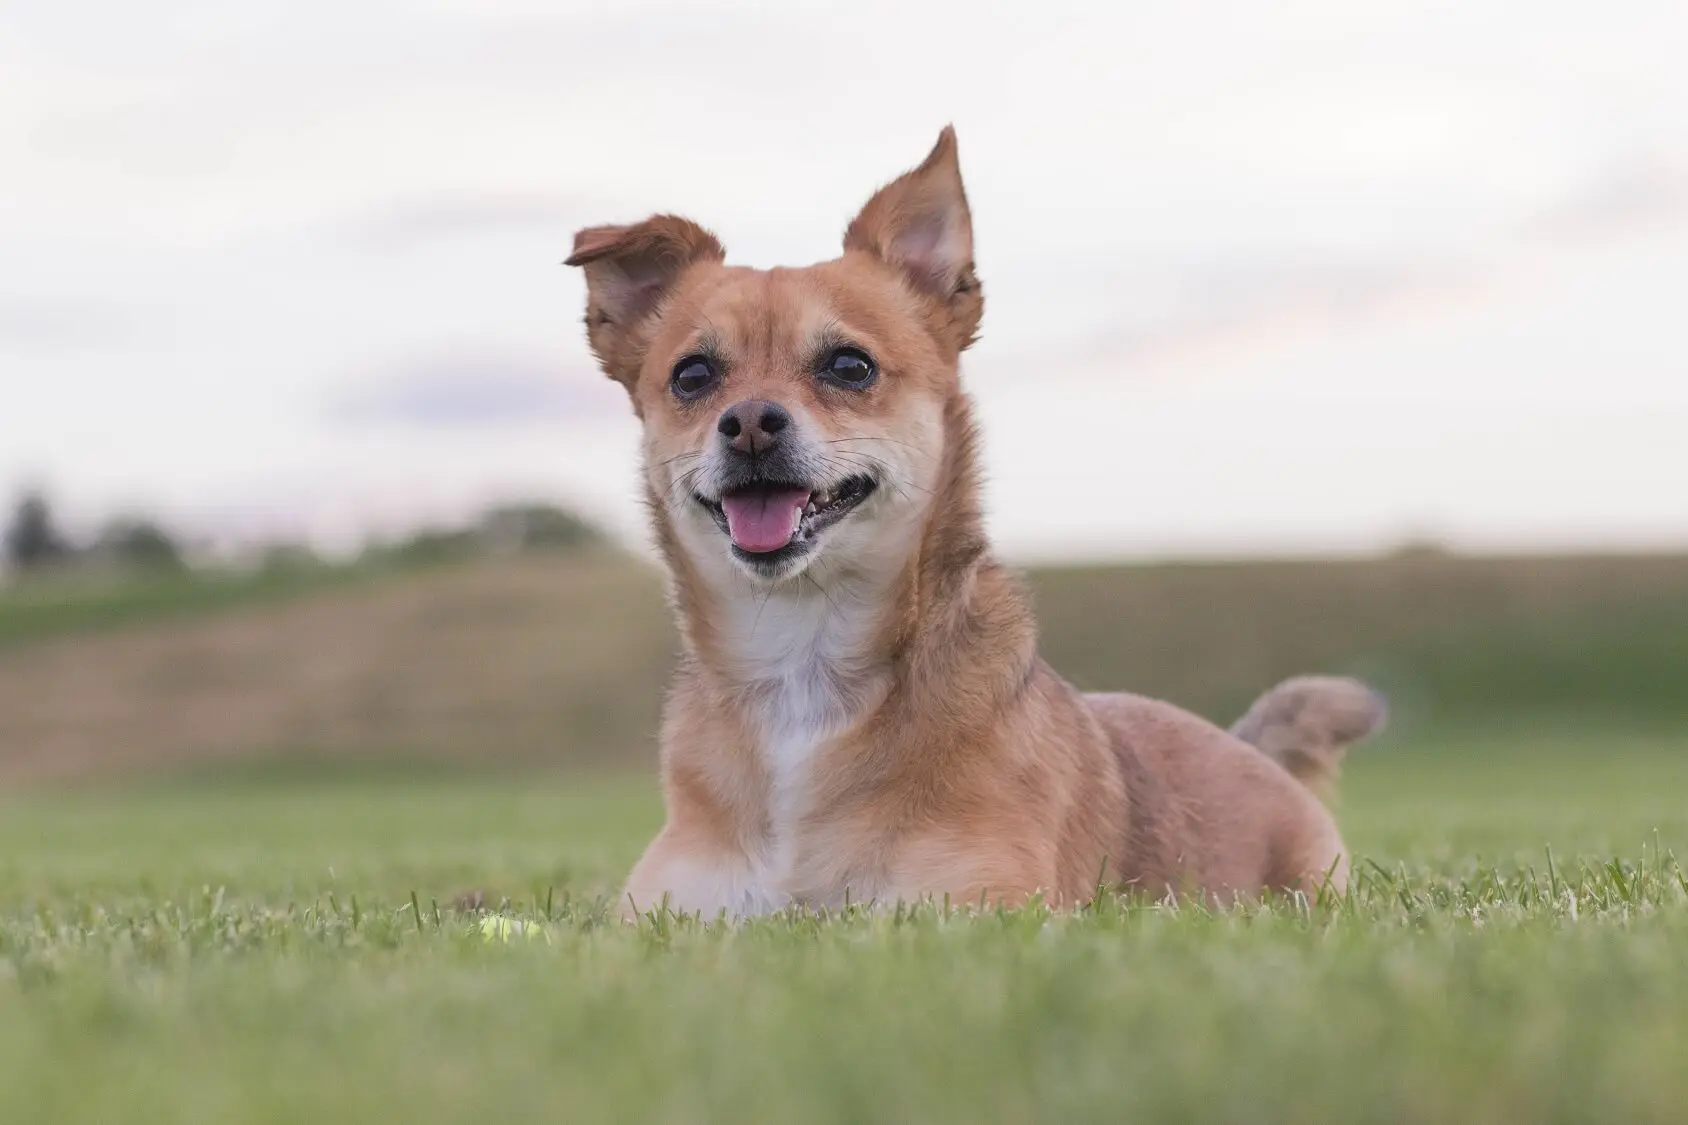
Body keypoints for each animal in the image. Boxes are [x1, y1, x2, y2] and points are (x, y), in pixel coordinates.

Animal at [567, 126, 1384, 918]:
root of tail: (1258, 754)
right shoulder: (669, 917)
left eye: (850, 366)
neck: (802, 662)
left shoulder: (974, 909)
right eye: (693, 376)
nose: (748, 425)